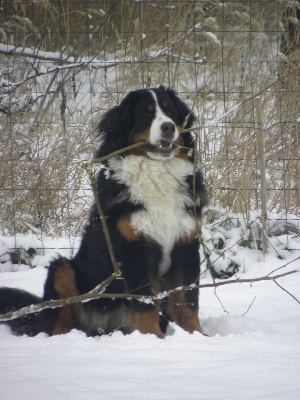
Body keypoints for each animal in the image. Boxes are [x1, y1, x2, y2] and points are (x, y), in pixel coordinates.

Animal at [0, 85, 207, 338]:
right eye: (145, 114)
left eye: (171, 112)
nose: (168, 127)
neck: (157, 175)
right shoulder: (135, 248)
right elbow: (145, 304)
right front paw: (153, 339)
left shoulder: (185, 245)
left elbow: (188, 301)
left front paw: (197, 336)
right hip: (63, 269)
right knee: (59, 321)